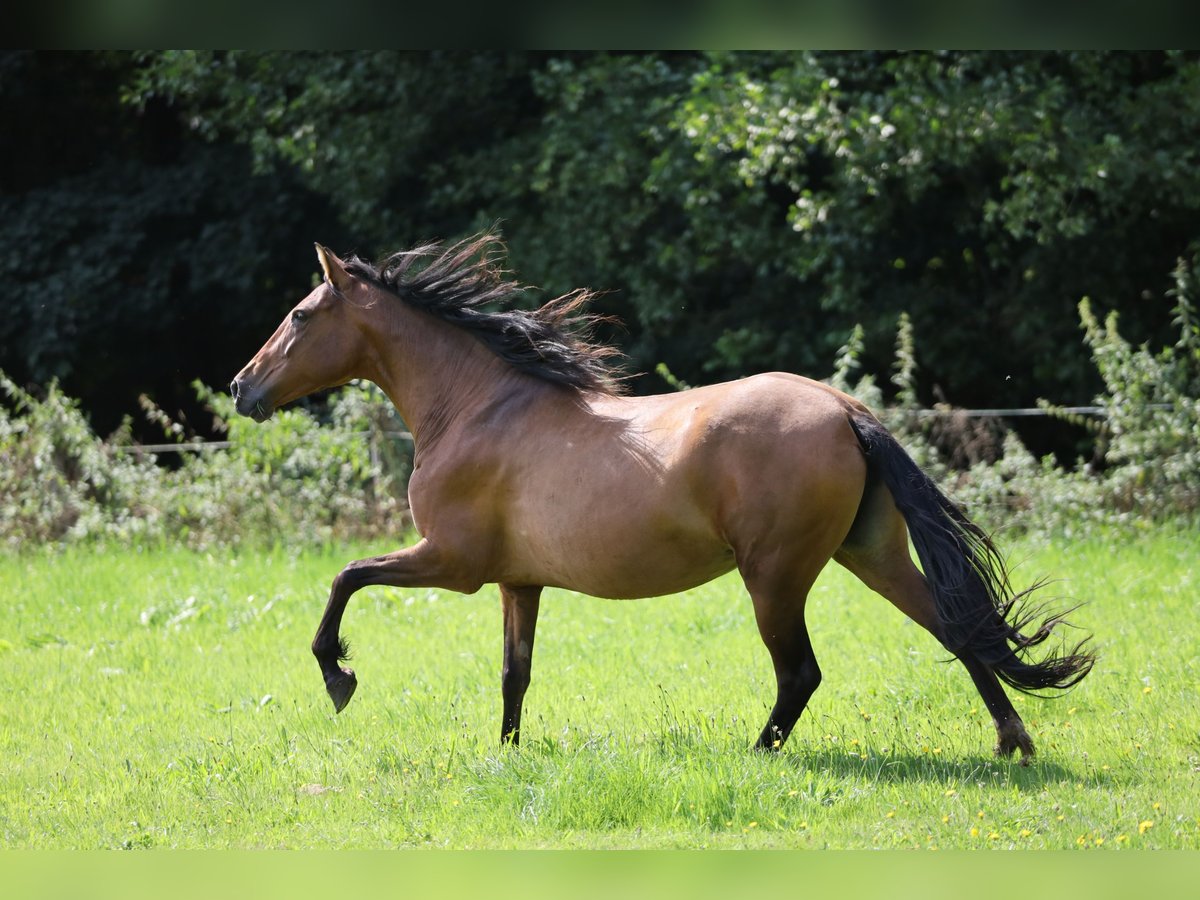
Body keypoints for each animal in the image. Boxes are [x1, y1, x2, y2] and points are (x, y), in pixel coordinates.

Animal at [230, 233, 1093, 761]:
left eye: (301, 314)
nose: (242, 388)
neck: (479, 405)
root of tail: (846, 410)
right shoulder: (517, 581)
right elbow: (514, 673)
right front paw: (506, 755)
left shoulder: (452, 562)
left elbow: (345, 578)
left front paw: (339, 678)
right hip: (869, 554)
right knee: (958, 629)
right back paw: (1013, 743)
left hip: (776, 576)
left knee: (801, 673)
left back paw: (756, 756)